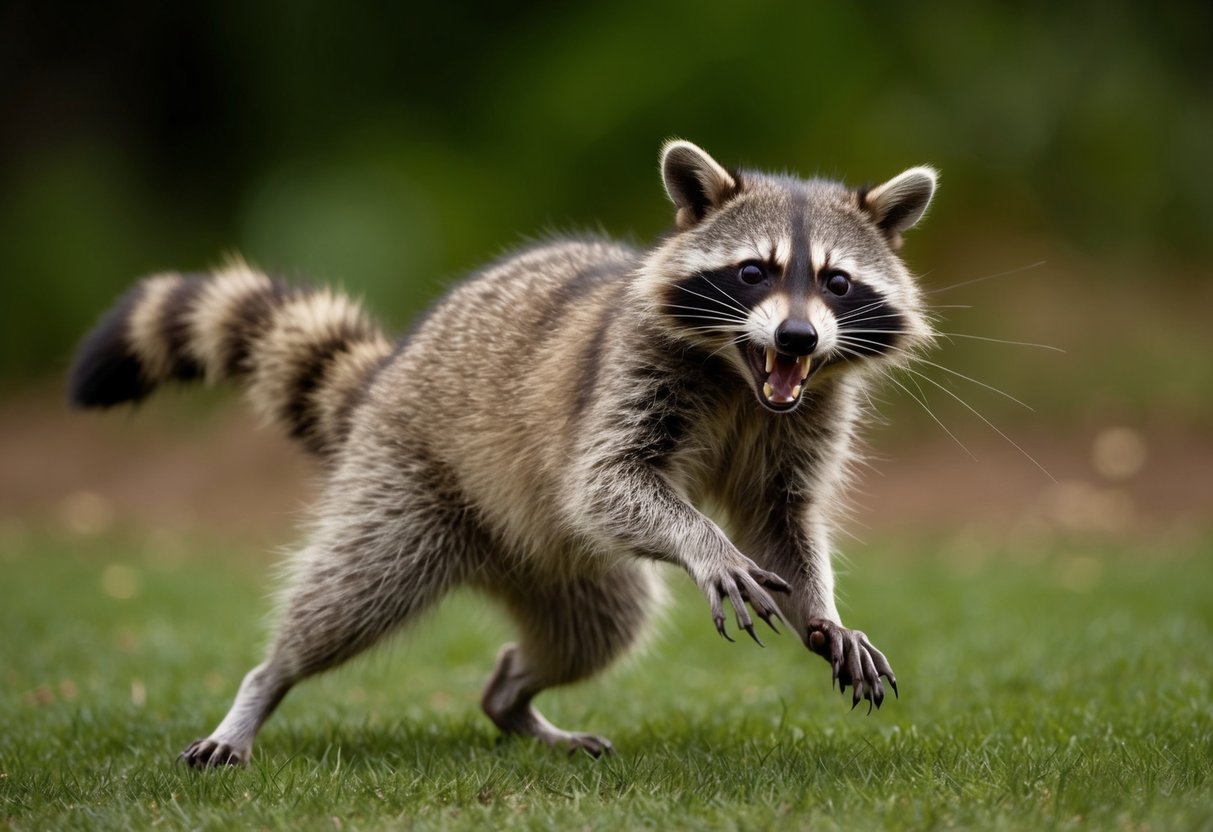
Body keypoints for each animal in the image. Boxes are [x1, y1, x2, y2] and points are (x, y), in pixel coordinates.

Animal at [69, 141, 937, 766]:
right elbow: (605, 481)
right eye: (753, 271)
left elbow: (780, 520)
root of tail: (388, 375)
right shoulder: (629, 371)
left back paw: (511, 699)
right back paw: (264, 686)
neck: (741, 375)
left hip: (561, 569)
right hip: (406, 480)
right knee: (348, 595)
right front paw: (706, 544)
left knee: (599, 630)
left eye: (835, 282)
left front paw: (820, 613)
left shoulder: (808, 410)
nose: (795, 338)